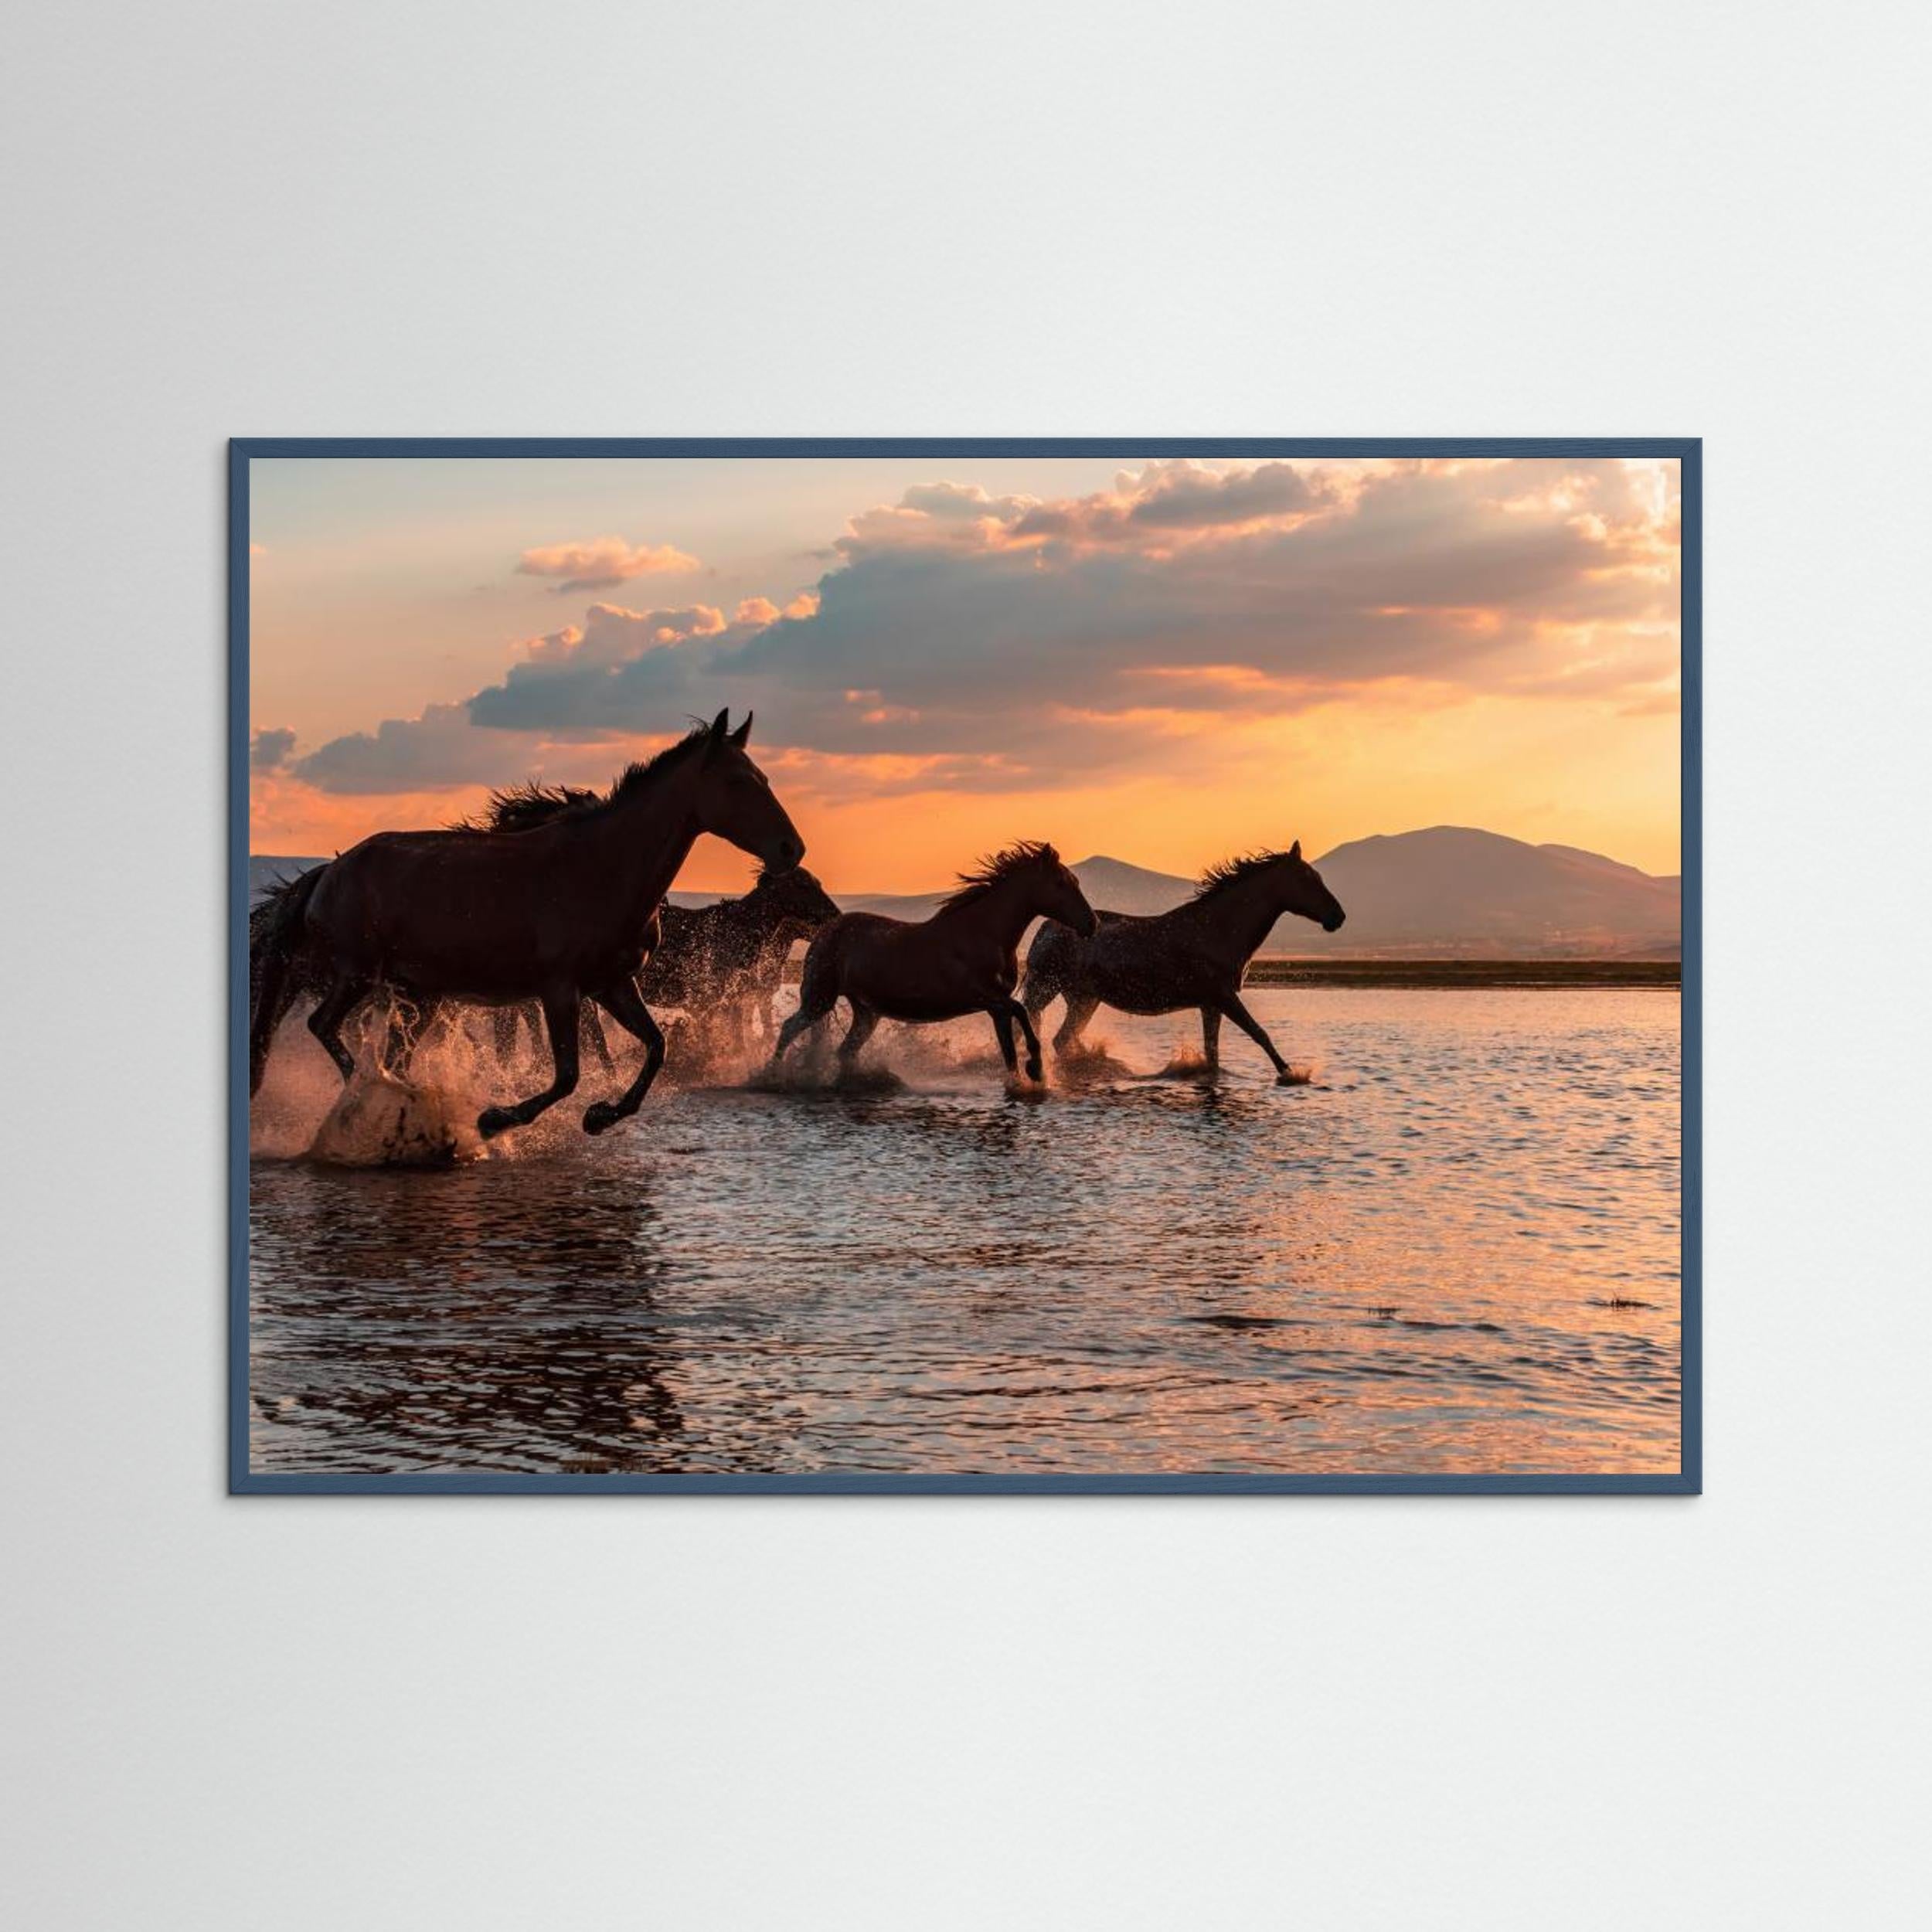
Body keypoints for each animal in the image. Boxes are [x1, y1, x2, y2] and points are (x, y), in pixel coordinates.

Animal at [248, 710, 804, 1137]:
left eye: (766, 779)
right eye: (737, 781)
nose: (790, 849)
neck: (603, 867)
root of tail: (329, 871)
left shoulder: (613, 984)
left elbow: (655, 1048)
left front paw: (601, 1116)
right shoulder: (559, 989)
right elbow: (567, 1075)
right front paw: (496, 1119)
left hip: (419, 995)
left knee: (392, 1055)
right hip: (359, 974)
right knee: (325, 1026)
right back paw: (375, 1097)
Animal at [771, 842, 1097, 1083]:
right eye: (1061, 883)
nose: (1092, 924)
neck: (984, 933)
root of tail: (824, 932)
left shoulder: (996, 1008)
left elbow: (1009, 1052)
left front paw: (1024, 1080)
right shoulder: (986, 998)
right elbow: (1022, 1012)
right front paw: (1037, 1069)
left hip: (866, 1012)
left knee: (845, 1051)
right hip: (819, 999)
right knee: (788, 1029)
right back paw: (772, 1075)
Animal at [1020, 844, 1345, 1082]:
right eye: (1307, 879)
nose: (1338, 917)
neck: (1220, 929)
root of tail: (1046, 928)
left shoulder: (1211, 1005)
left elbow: (1213, 1054)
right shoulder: (1224, 997)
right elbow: (1259, 1034)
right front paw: (1291, 1074)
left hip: (1084, 999)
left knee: (1062, 1039)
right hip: (1046, 989)